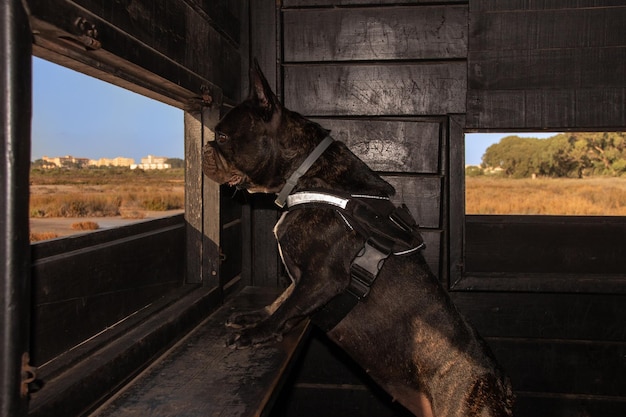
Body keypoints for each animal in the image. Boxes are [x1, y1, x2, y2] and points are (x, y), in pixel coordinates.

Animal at [201, 61, 512, 416]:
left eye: (222, 136)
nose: (203, 148)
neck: (307, 176)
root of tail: (500, 385)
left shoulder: (324, 277)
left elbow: (290, 305)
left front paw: (257, 333)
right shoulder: (304, 278)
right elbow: (285, 298)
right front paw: (256, 317)